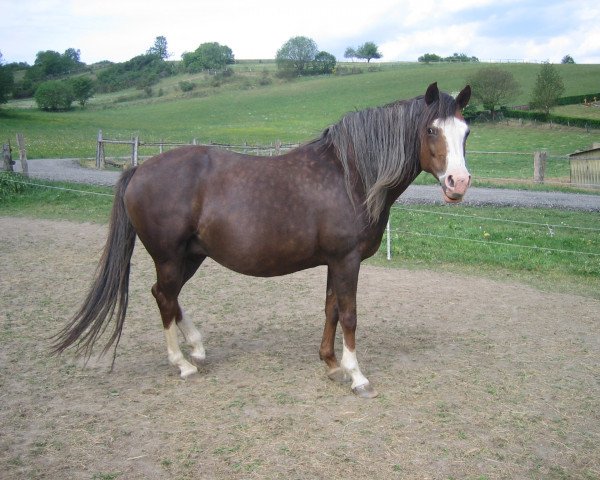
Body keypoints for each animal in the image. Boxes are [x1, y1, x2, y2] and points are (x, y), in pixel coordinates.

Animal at [52, 81, 474, 398]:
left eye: (466, 132)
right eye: (432, 129)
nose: (459, 183)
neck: (349, 175)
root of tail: (139, 169)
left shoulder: (333, 261)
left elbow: (331, 310)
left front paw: (331, 365)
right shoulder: (346, 260)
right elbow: (350, 314)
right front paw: (357, 376)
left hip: (191, 256)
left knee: (165, 295)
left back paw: (197, 347)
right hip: (170, 257)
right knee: (165, 297)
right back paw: (183, 364)